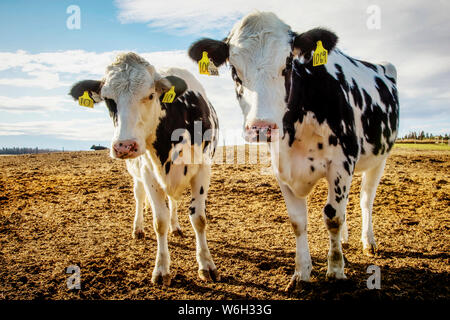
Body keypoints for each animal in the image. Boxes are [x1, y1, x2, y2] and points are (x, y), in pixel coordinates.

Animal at [68, 52, 220, 284]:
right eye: (108, 100)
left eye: (150, 95)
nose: (124, 145)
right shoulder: (148, 174)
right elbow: (159, 221)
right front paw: (162, 268)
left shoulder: (203, 169)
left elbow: (199, 219)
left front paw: (206, 264)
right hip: (137, 174)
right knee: (139, 197)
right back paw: (138, 228)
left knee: (173, 201)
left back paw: (176, 227)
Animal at [188, 12, 400, 288]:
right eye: (234, 70)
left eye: (288, 64)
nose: (262, 127)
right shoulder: (282, 169)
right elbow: (298, 222)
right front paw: (302, 272)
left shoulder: (342, 162)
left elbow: (332, 216)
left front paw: (336, 270)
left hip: (379, 159)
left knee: (366, 199)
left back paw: (368, 242)